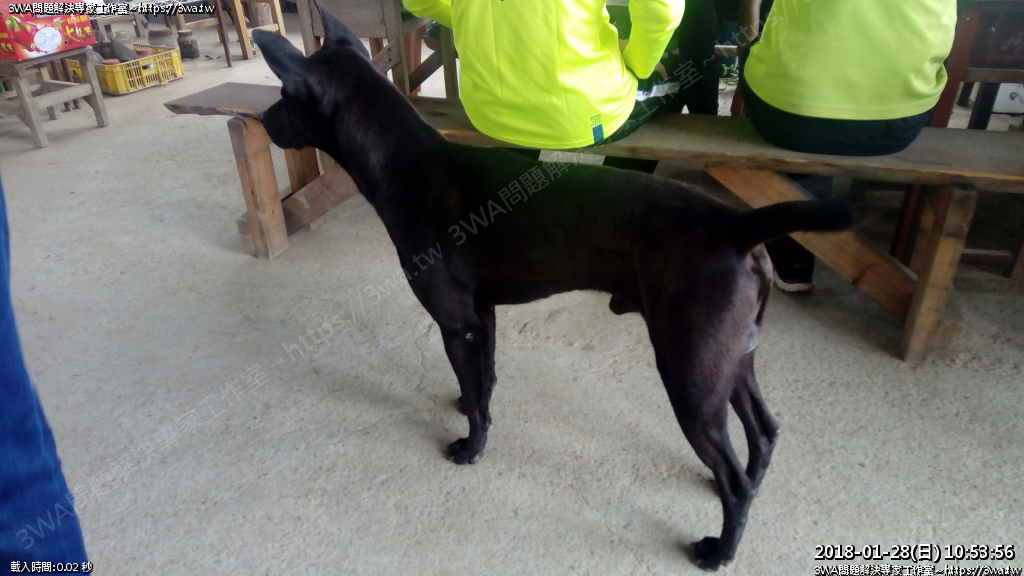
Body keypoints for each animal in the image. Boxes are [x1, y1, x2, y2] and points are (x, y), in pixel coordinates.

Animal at [252, 8, 852, 570]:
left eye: (284, 96)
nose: (259, 118)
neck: (408, 165)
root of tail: (736, 226)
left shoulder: (456, 323)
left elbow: (477, 400)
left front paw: (471, 448)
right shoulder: (482, 317)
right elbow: (483, 382)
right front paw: (472, 405)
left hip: (691, 375)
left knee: (733, 476)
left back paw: (720, 549)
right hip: (731, 360)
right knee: (765, 434)